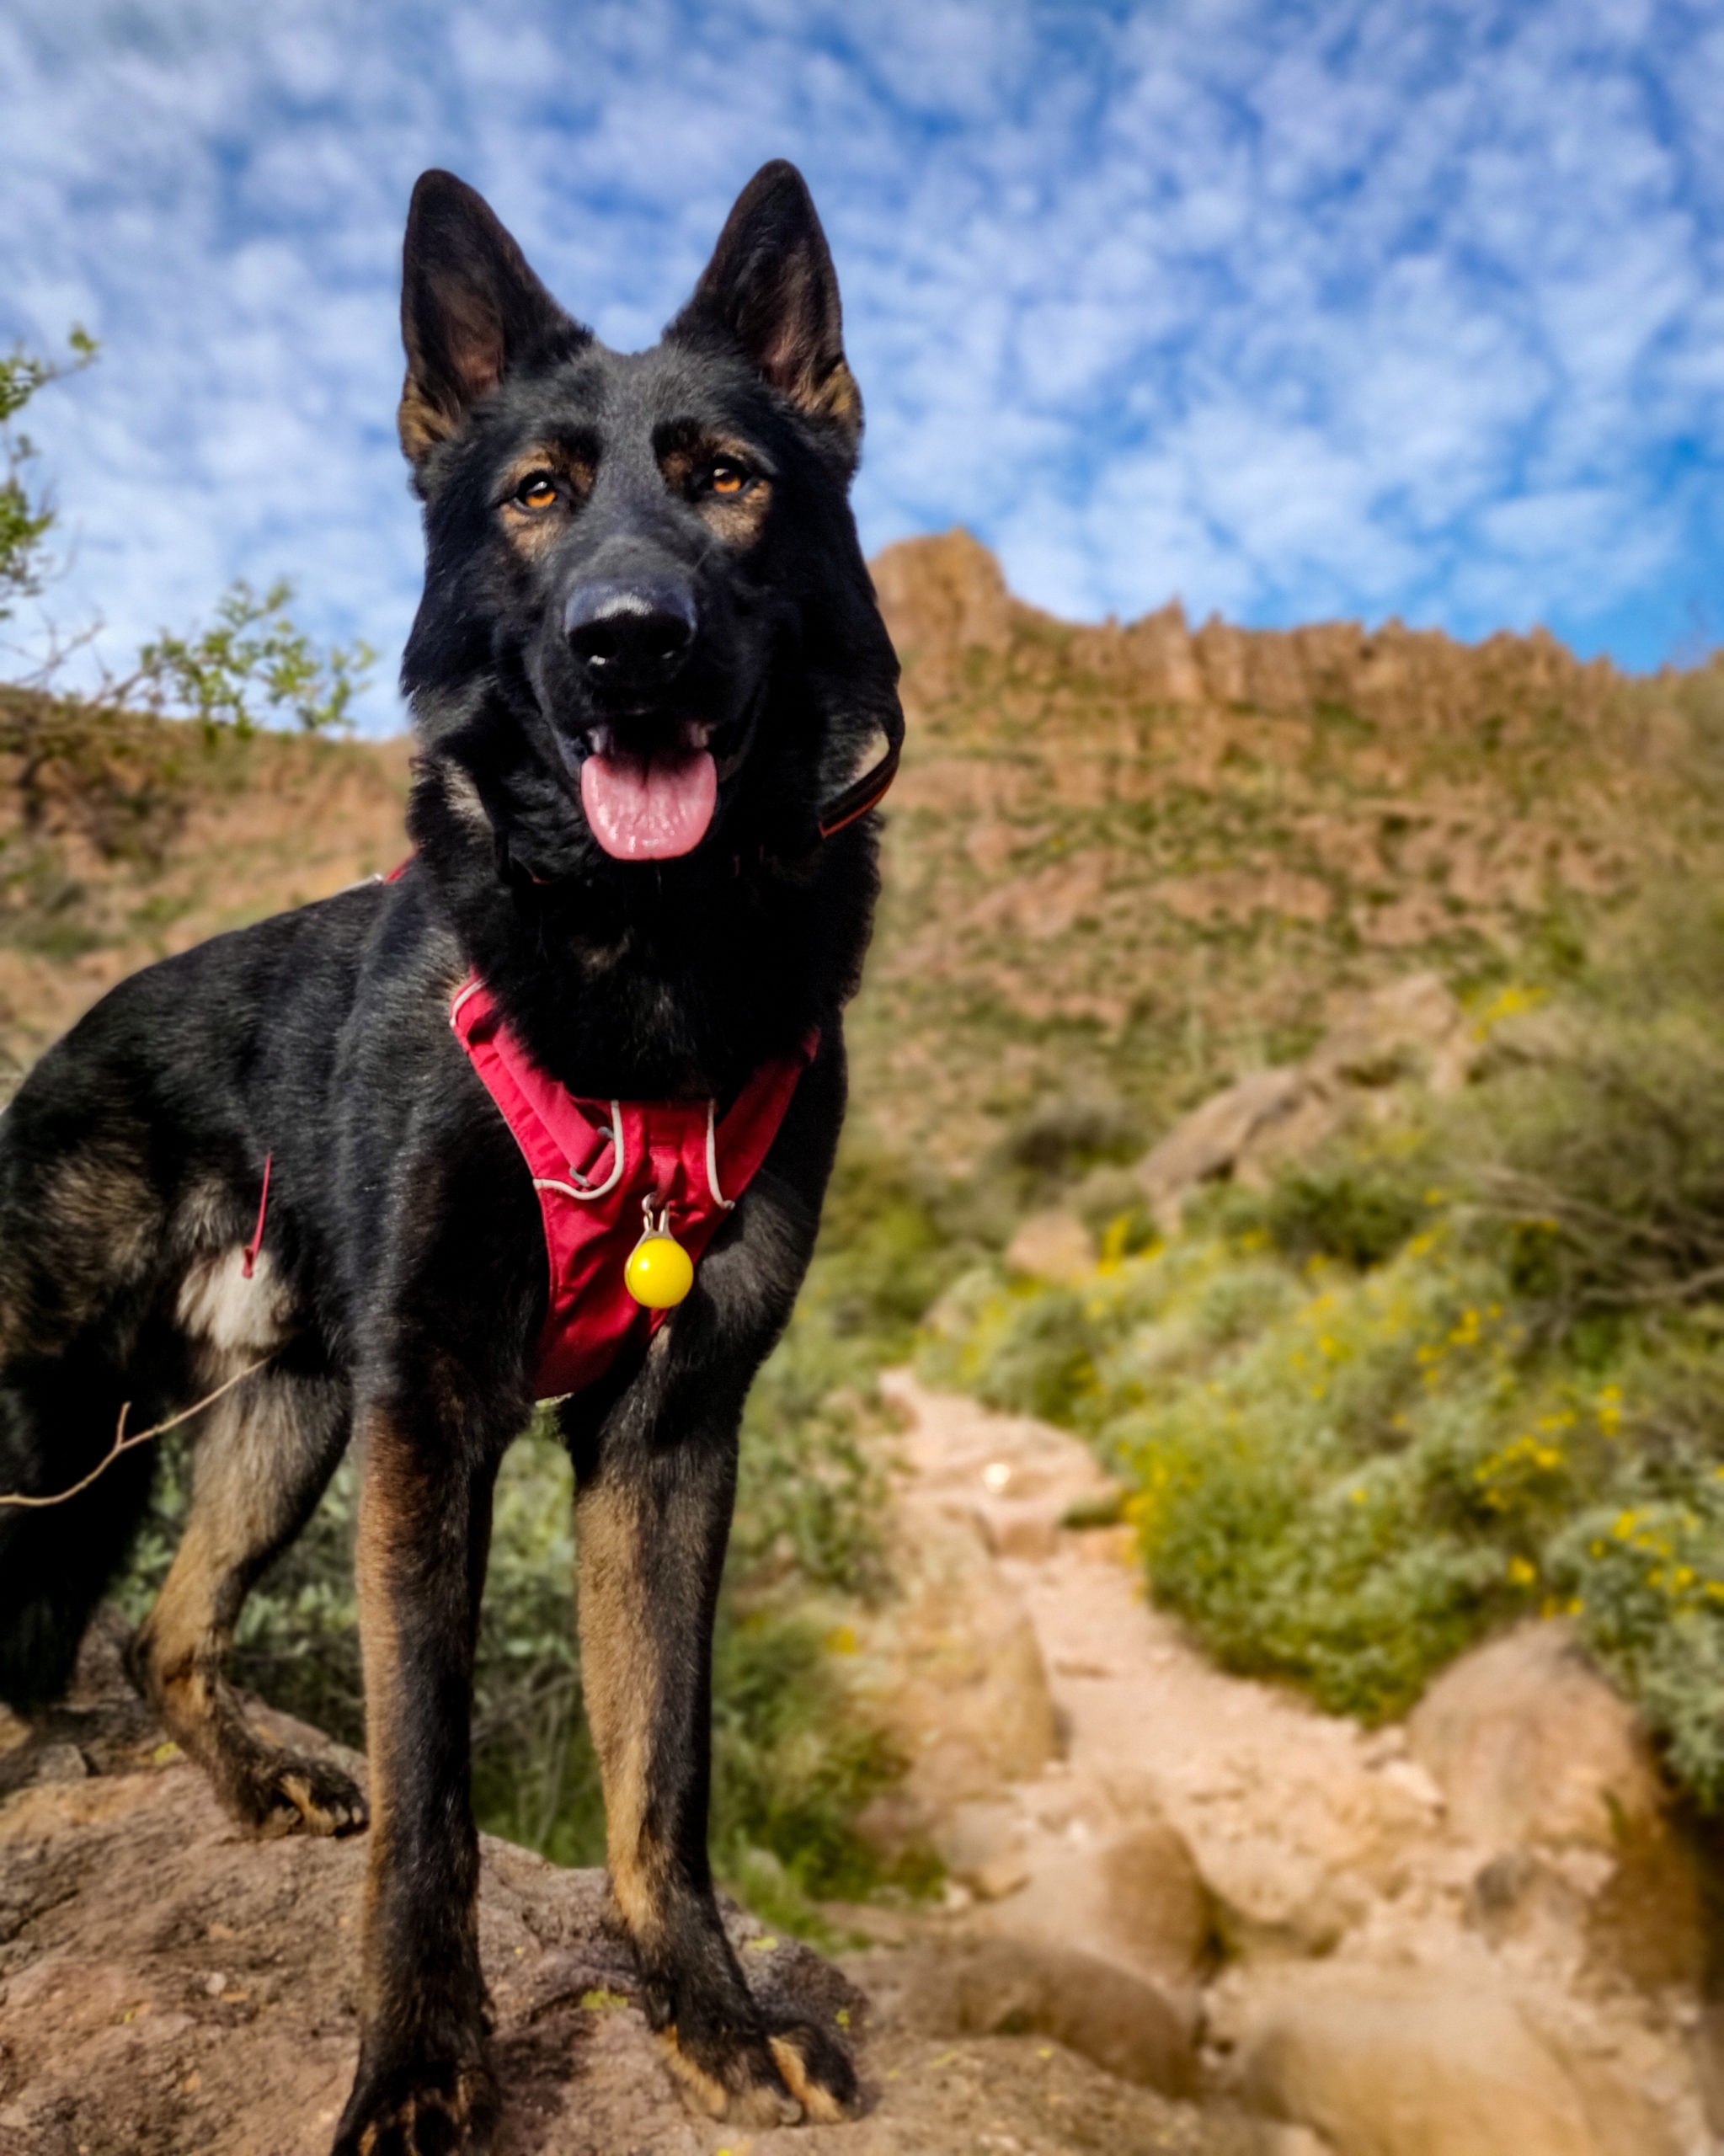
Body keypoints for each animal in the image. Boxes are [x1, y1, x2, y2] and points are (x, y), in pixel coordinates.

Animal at [0, 163, 909, 2138]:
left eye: (729, 477)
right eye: (537, 494)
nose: (628, 638)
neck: (639, 977)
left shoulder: (667, 1430)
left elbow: (662, 1769)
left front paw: (704, 2007)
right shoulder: (434, 1414)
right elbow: (432, 1792)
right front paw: (419, 2062)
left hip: (282, 1421)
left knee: (165, 1627)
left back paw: (249, 1779)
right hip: (63, 1418)